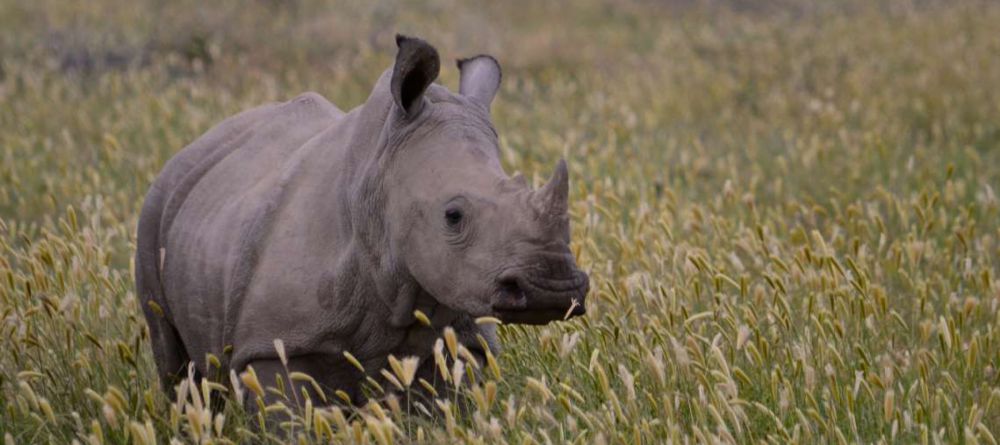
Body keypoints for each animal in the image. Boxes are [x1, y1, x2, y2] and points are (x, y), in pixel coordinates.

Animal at [135, 35, 589, 405]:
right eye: (453, 216)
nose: (553, 291)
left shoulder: (464, 338)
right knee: (177, 369)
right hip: (155, 209)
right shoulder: (273, 343)